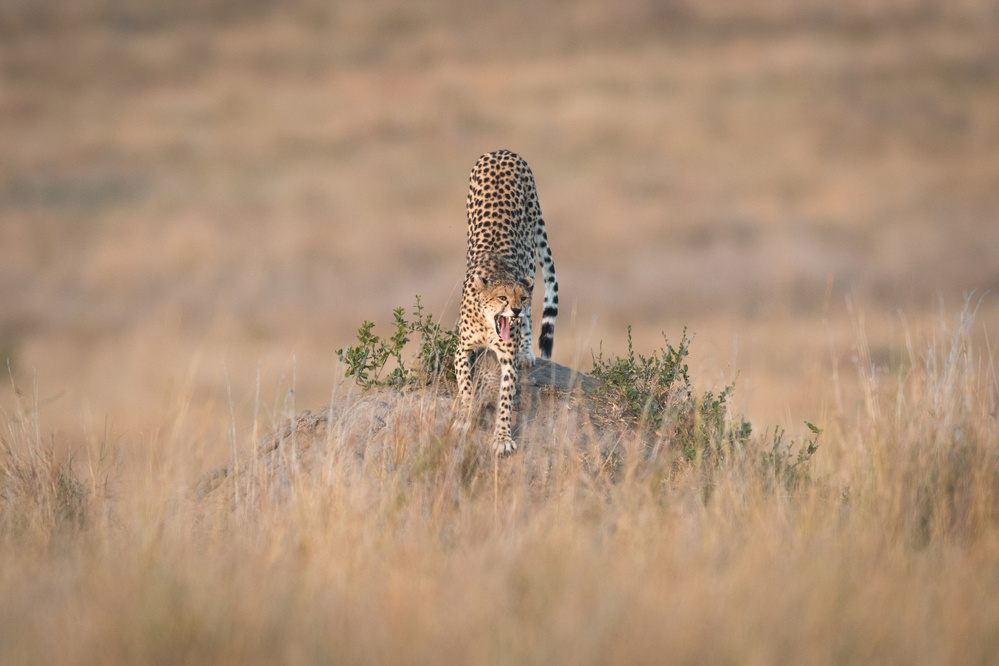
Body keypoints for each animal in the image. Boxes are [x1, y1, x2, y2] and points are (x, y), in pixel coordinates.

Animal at [458, 149, 560, 452]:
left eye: (520, 297)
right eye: (502, 297)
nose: (515, 309)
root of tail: (502, 151)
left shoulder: (507, 358)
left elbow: (505, 399)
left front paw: (502, 438)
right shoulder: (462, 350)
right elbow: (465, 386)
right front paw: (465, 417)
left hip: (529, 256)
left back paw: (527, 350)